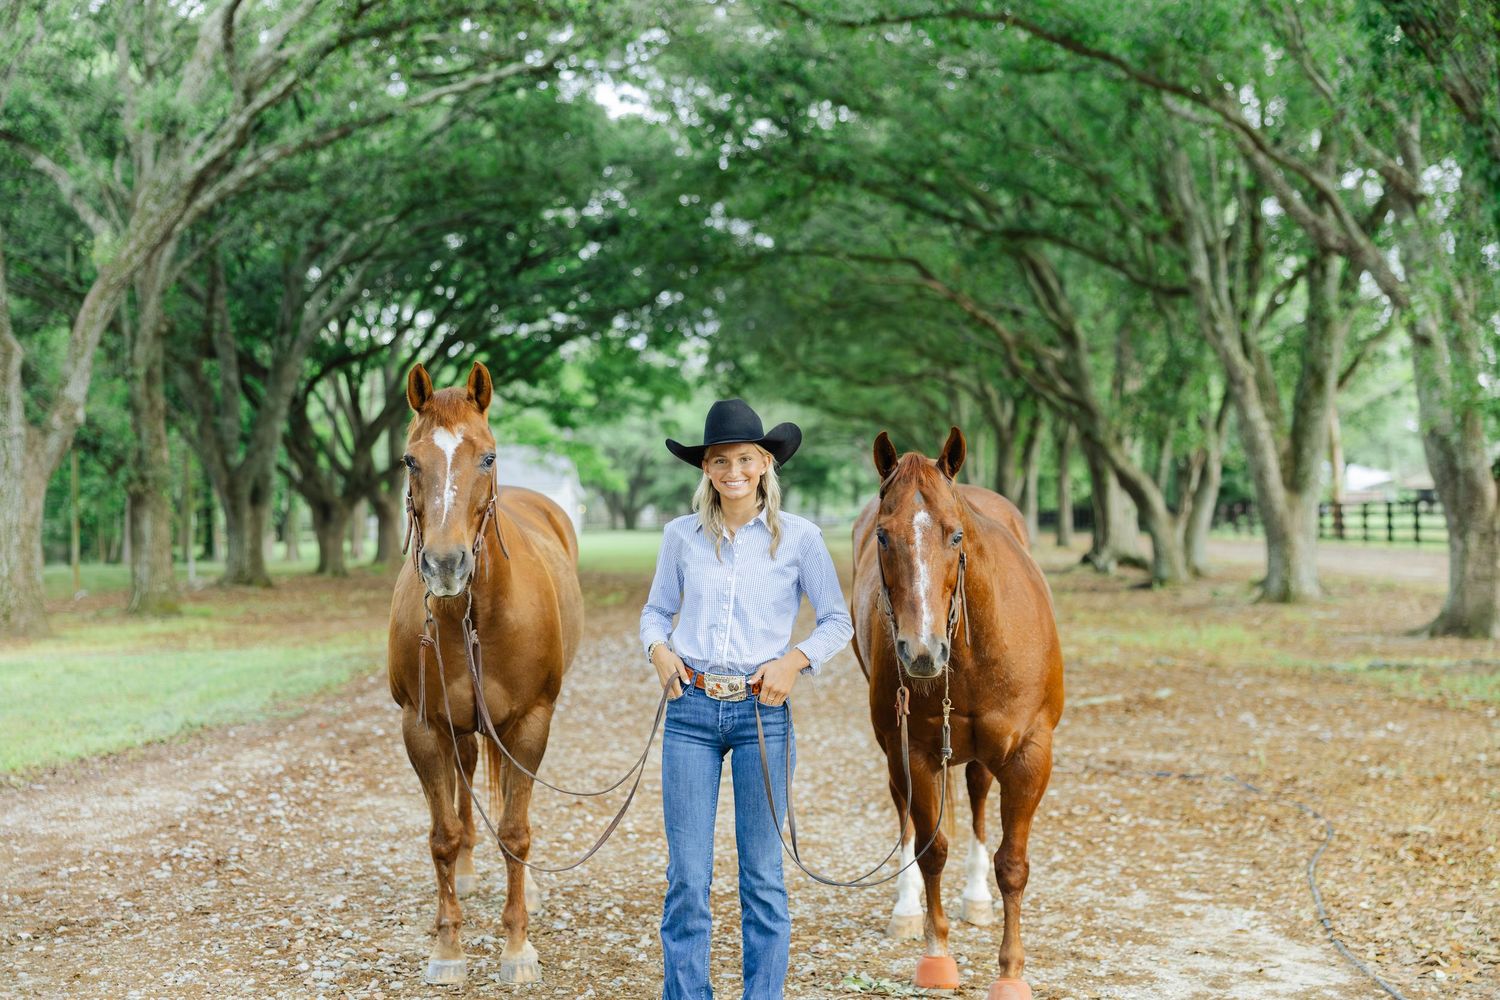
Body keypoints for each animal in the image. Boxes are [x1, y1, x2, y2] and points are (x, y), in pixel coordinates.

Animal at [386, 361, 583, 987]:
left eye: (488, 457)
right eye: (410, 460)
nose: (446, 565)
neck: (472, 611)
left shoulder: (530, 721)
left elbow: (517, 832)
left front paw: (518, 947)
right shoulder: (422, 725)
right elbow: (443, 835)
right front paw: (448, 948)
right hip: (460, 725)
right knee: (468, 777)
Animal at [850, 428, 1064, 1000]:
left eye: (956, 536)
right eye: (883, 537)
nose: (921, 652)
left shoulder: (1030, 753)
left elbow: (1013, 864)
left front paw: (1010, 972)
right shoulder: (916, 751)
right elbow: (931, 849)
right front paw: (937, 952)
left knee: (978, 795)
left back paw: (977, 898)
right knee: (904, 812)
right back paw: (906, 909)